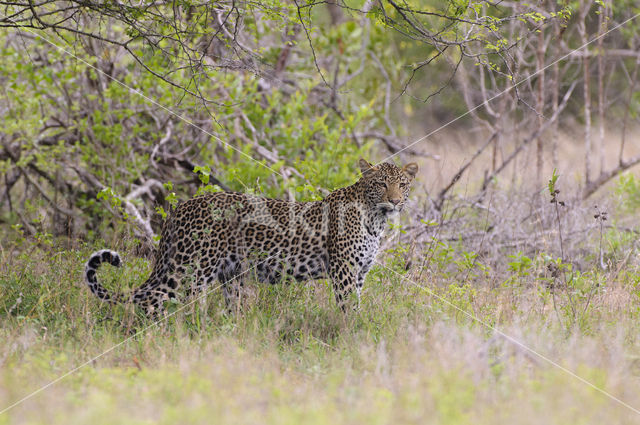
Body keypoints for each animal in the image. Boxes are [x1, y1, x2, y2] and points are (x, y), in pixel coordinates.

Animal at [82, 159, 418, 312]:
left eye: (402, 184)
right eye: (380, 183)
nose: (395, 201)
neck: (375, 219)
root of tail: (181, 207)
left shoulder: (359, 274)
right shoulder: (344, 272)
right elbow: (350, 310)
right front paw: (354, 336)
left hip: (229, 276)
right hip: (190, 271)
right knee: (157, 303)